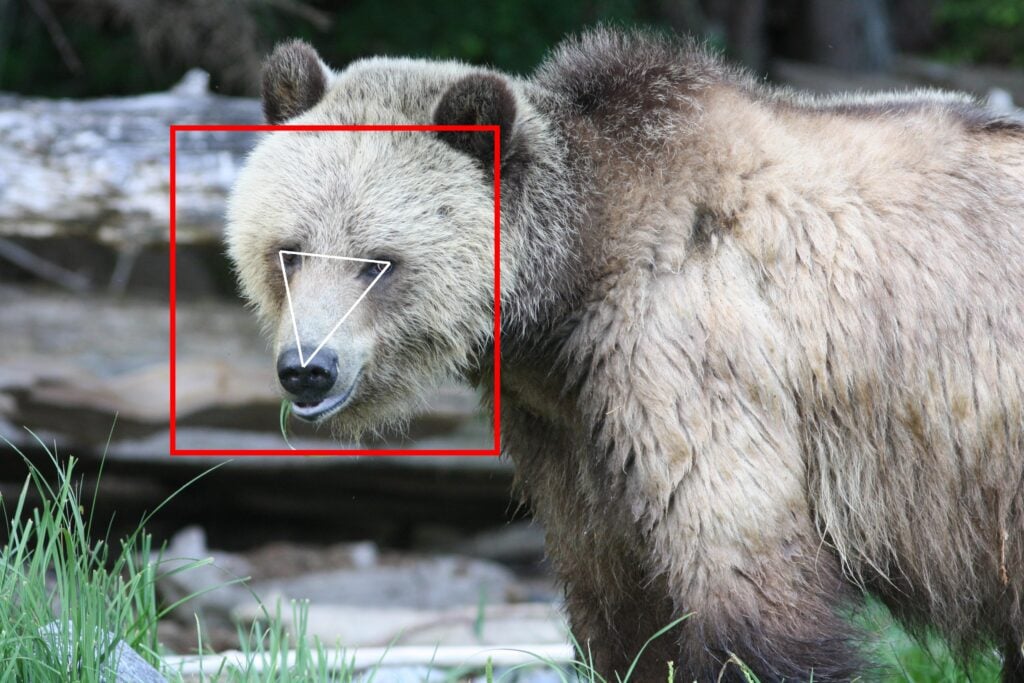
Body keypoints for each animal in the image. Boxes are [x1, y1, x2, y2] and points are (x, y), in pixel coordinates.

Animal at [226, 29, 1024, 682]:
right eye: (289, 249)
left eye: (377, 262)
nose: (308, 367)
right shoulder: (567, 432)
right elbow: (618, 607)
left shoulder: (692, 359)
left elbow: (748, 583)